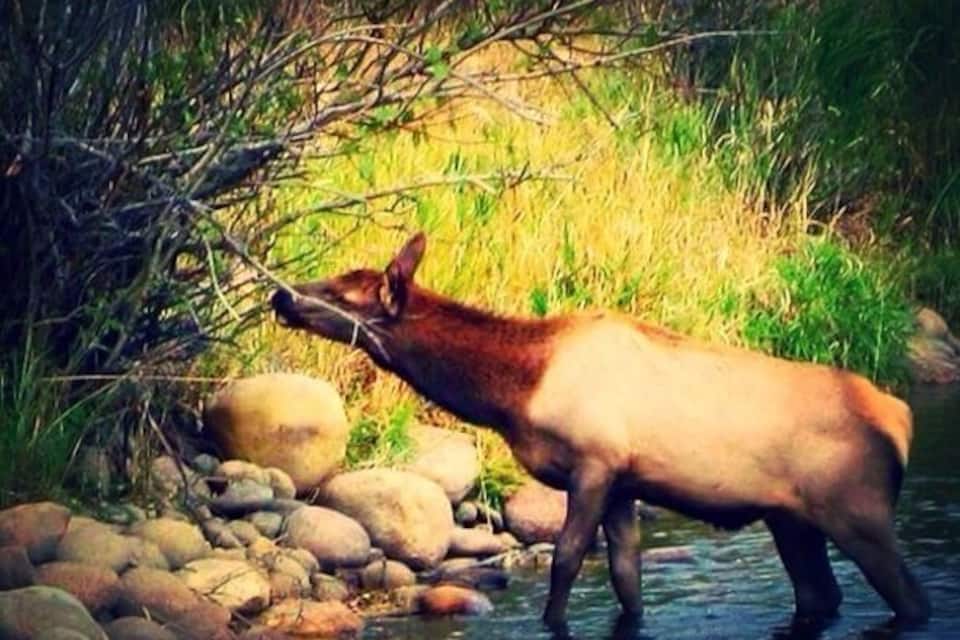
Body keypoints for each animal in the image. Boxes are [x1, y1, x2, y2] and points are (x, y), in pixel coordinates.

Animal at [271, 232, 930, 628]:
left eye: (341, 293)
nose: (281, 296)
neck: (513, 392)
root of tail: (901, 418)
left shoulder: (595, 463)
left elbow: (565, 561)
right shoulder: (624, 483)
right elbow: (625, 578)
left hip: (858, 509)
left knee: (912, 599)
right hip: (792, 518)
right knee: (821, 596)